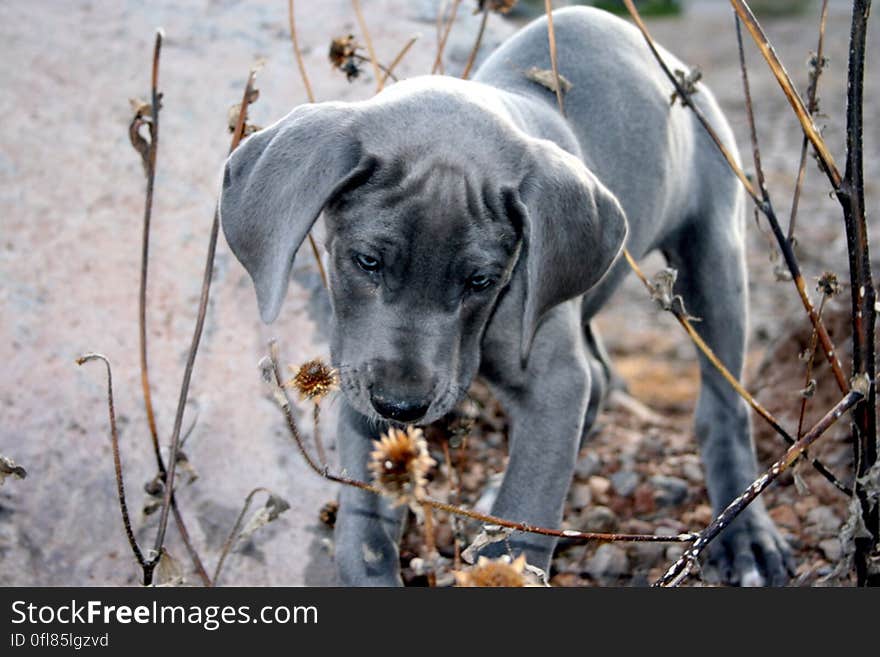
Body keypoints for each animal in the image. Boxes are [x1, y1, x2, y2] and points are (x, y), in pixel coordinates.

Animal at [218, 7, 792, 588]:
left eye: (481, 281)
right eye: (367, 262)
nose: (401, 405)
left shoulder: (552, 382)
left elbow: (526, 506)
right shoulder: (361, 382)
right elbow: (364, 537)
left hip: (715, 257)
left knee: (723, 405)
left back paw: (747, 538)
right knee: (604, 375)